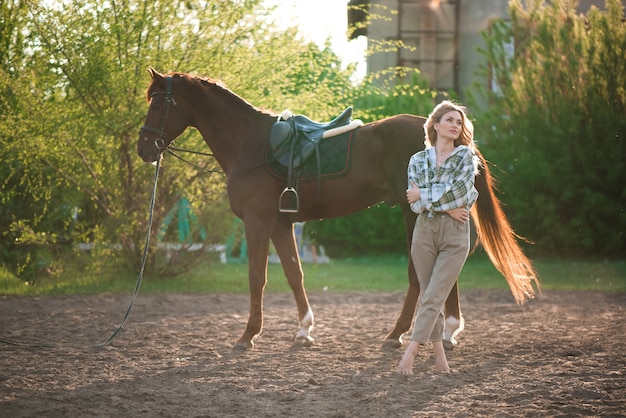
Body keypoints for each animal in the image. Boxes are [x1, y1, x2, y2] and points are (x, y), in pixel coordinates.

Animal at [138, 68, 536, 350]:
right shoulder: (281, 224)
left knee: (421, 272)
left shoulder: (258, 222)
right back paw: (446, 331)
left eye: (158, 104)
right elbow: (294, 274)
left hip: (414, 215)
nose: (144, 148)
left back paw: (400, 334)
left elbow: (256, 278)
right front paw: (303, 331)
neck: (251, 144)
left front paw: (247, 335)